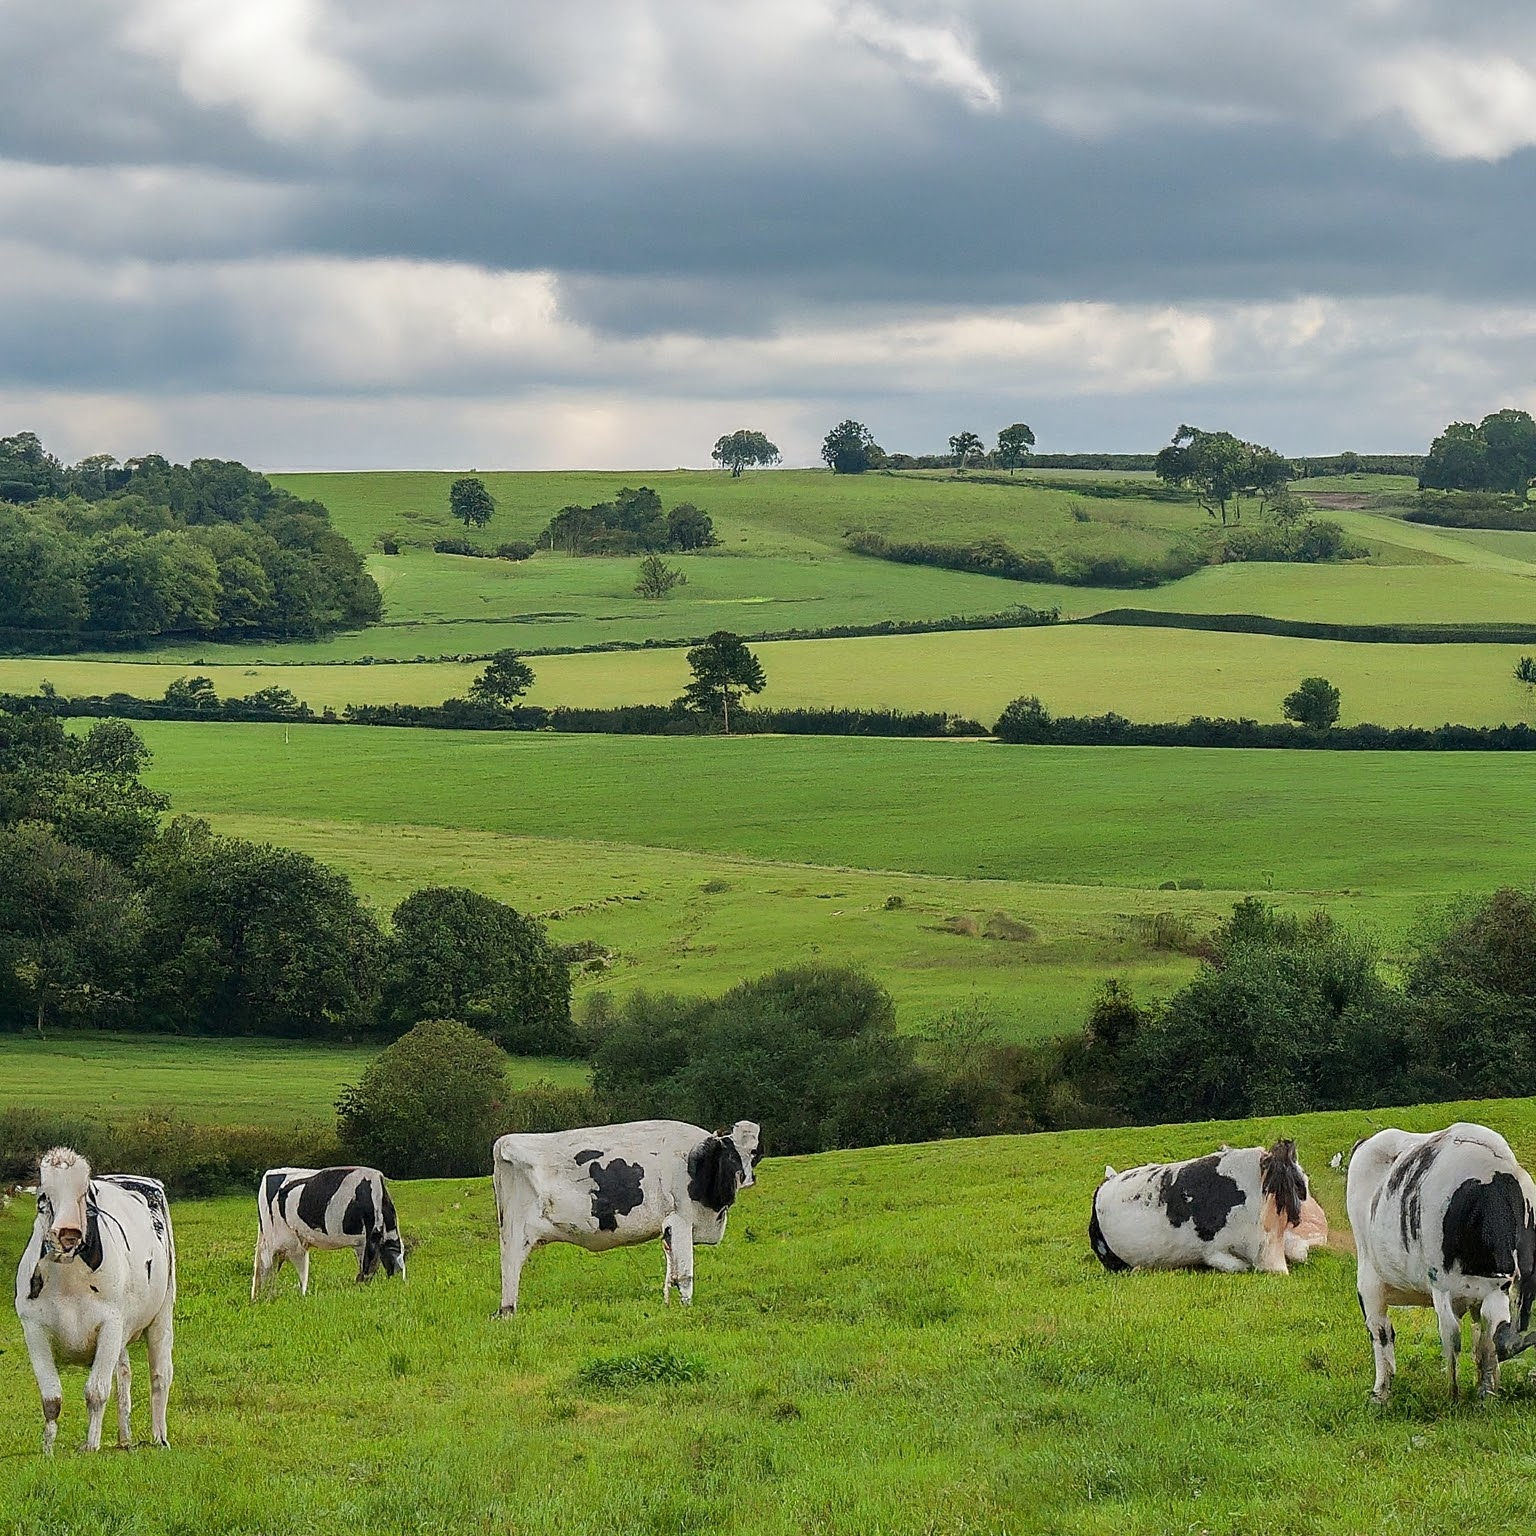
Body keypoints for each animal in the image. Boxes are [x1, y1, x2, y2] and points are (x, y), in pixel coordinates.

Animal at [12, 1148, 176, 1456]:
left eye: (84, 1195)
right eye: (43, 1197)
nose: (68, 1234)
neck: (68, 1282)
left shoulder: (110, 1324)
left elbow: (96, 1392)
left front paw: (91, 1445)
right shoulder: (33, 1328)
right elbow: (51, 1399)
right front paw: (48, 1451)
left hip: (163, 1313)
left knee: (160, 1375)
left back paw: (160, 1437)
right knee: (124, 1375)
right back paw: (125, 1439)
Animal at [247, 1161, 402, 1296]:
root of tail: (270, 1173)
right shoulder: (369, 1236)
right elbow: (367, 1266)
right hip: (272, 1239)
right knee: (266, 1266)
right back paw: (265, 1297)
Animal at [491, 1112, 761, 1314]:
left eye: (754, 1152)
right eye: (731, 1154)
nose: (747, 1180)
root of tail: (505, 1141)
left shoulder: (669, 1227)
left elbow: (671, 1272)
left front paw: (667, 1305)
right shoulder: (682, 1220)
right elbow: (685, 1275)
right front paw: (687, 1310)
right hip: (516, 1231)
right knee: (511, 1266)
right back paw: (508, 1311)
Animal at [1087, 1142, 1314, 1271]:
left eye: (1304, 1181)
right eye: (1299, 1185)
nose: (1303, 1216)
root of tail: (1109, 1179)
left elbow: (1300, 1253)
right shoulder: (1214, 1251)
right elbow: (1239, 1266)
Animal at [1345, 1124, 1536, 1400]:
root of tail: (1368, 1141)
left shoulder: (1493, 1289)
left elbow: (1487, 1345)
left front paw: (1486, 1393)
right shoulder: (1443, 1289)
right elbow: (1453, 1343)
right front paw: (1453, 1396)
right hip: (1369, 1277)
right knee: (1380, 1331)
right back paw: (1381, 1392)